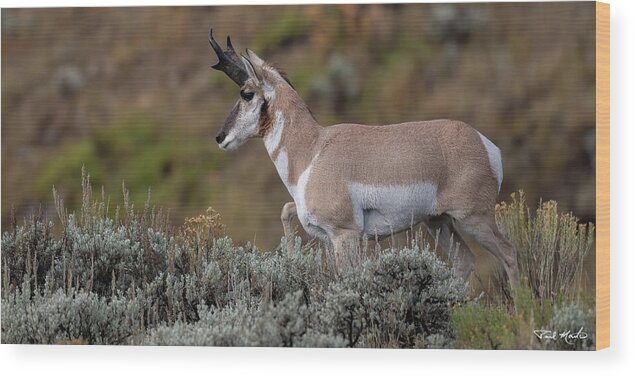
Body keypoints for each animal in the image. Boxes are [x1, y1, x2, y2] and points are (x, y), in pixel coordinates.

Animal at [209, 30, 520, 288]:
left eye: (247, 93)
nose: (220, 137)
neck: (312, 150)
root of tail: (484, 143)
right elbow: (287, 212)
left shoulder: (345, 235)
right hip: (438, 222)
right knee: (465, 260)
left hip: (473, 218)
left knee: (509, 253)